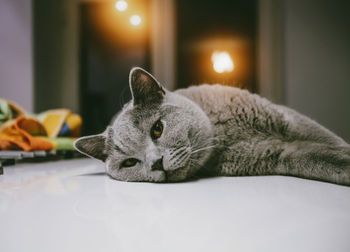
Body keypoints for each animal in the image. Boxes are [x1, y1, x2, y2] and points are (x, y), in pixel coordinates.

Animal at [75, 67, 350, 185]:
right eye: (130, 163)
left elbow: (330, 141)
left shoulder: (289, 119)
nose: (156, 163)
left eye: (157, 129)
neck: (223, 133)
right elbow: (322, 161)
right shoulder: (277, 154)